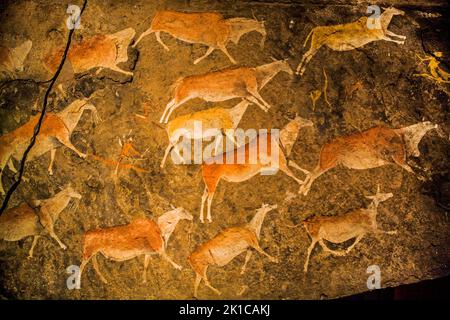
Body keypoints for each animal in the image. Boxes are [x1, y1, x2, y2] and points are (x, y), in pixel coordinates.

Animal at [132, 10, 266, 64]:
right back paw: (133, 45)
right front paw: (234, 61)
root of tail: (158, 12)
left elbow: (207, 53)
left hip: (158, 28)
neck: (230, 28)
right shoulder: (220, 43)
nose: (265, 35)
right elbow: (226, 53)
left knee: (157, 36)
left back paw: (165, 47)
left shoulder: (214, 44)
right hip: (155, 26)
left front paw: (196, 61)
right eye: (263, 27)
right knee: (144, 33)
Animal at [160, 59, 294, 123]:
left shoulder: (242, 93)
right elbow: (258, 97)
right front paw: (267, 106)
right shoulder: (250, 88)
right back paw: (165, 120)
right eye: (287, 64)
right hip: (183, 96)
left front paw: (265, 107)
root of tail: (182, 80)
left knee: (168, 104)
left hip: (181, 95)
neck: (257, 74)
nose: (294, 73)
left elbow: (253, 99)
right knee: (172, 106)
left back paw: (162, 120)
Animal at [298, 120, 440, 195]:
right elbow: (412, 169)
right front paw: (423, 177)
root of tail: (325, 145)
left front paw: (427, 174)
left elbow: (417, 167)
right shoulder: (397, 158)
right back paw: (304, 190)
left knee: (311, 173)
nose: (437, 125)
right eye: (428, 122)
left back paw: (302, 189)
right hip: (328, 162)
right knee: (312, 174)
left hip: (327, 162)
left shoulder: (398, 158)